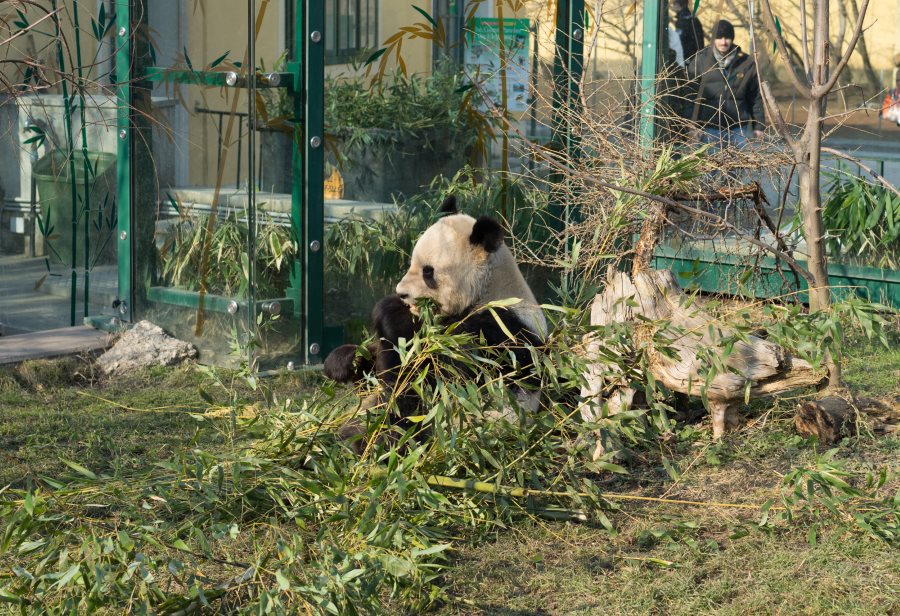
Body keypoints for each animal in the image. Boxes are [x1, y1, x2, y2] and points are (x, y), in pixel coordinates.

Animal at [326, 195, 544, 440]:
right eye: (411, 263)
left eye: (428, 272)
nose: (402, 293)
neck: (489, 289)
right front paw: (344, 361)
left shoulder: (496, 332)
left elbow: (432, 373)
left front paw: (391, 312)